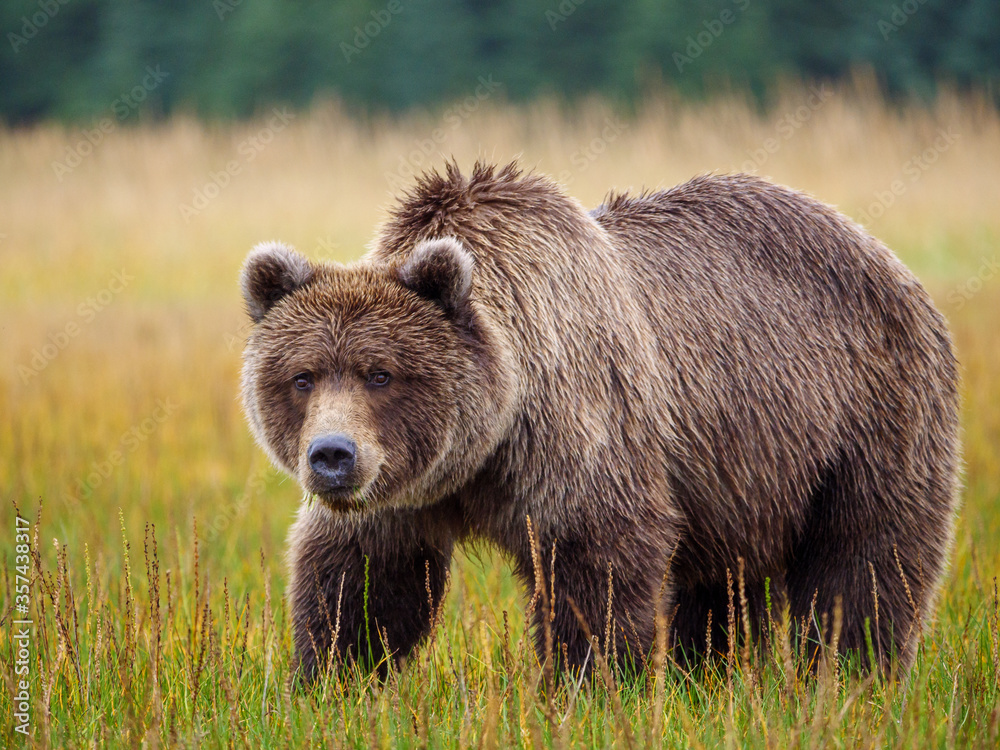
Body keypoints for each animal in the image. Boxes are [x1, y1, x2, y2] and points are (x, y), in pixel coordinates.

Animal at [240, 162, 960, 684]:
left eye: (381, 374)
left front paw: (590, 686)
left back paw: (853, 677)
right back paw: (710, 679)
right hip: (744, 474)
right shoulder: (401, 490)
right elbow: (362, 580)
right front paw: (328, 681)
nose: (333, 455)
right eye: (303, 376)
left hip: (867, 414)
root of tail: (883, 254)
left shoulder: (576, 431)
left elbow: (595, 564)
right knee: (724, 586)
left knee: (865, 561)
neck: (486, 445)